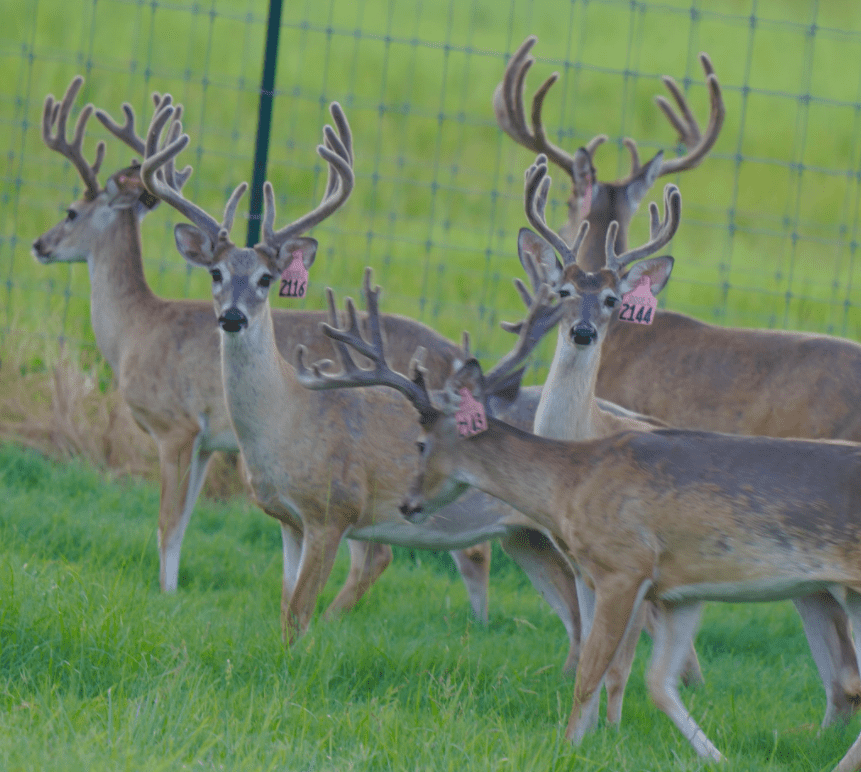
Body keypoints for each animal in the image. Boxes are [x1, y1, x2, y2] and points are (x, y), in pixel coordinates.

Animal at [32, 75, 499, 625]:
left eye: (70, 212)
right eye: (213, 272)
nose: (39, 244)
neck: (134, 330)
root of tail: (460, 356)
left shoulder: (176, 425)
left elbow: (168, 521)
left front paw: (166, 595)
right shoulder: (208, 442)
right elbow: (183, 520)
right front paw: (172, 594)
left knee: (394, 550)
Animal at [303, 267, 861, 772]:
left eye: (418, 443)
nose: (408, 504)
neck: (572, 481)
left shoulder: (624, 566)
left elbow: (590, 672)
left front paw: (569, 747)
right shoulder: (676, 589)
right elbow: (658, 682)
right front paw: (713, 756)